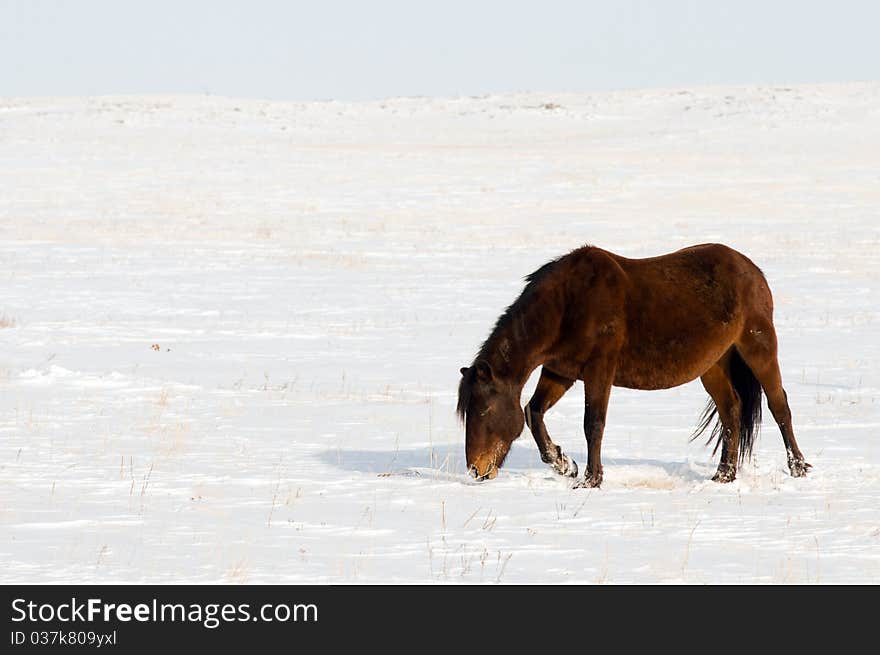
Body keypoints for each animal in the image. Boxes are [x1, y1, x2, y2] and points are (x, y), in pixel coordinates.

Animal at [460, 245, 812, 486]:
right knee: (731, 411)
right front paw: (564, 464)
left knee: (779, 406)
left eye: (484, 412)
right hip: (713, 365)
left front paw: (591, 479)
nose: (477, 470)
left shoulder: (599, 370)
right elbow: (533, 413)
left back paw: (797, 467)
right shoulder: (560, 371)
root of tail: (751, 269)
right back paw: (724, 475)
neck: (567, 304)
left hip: (758, 347)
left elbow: (593, 423)